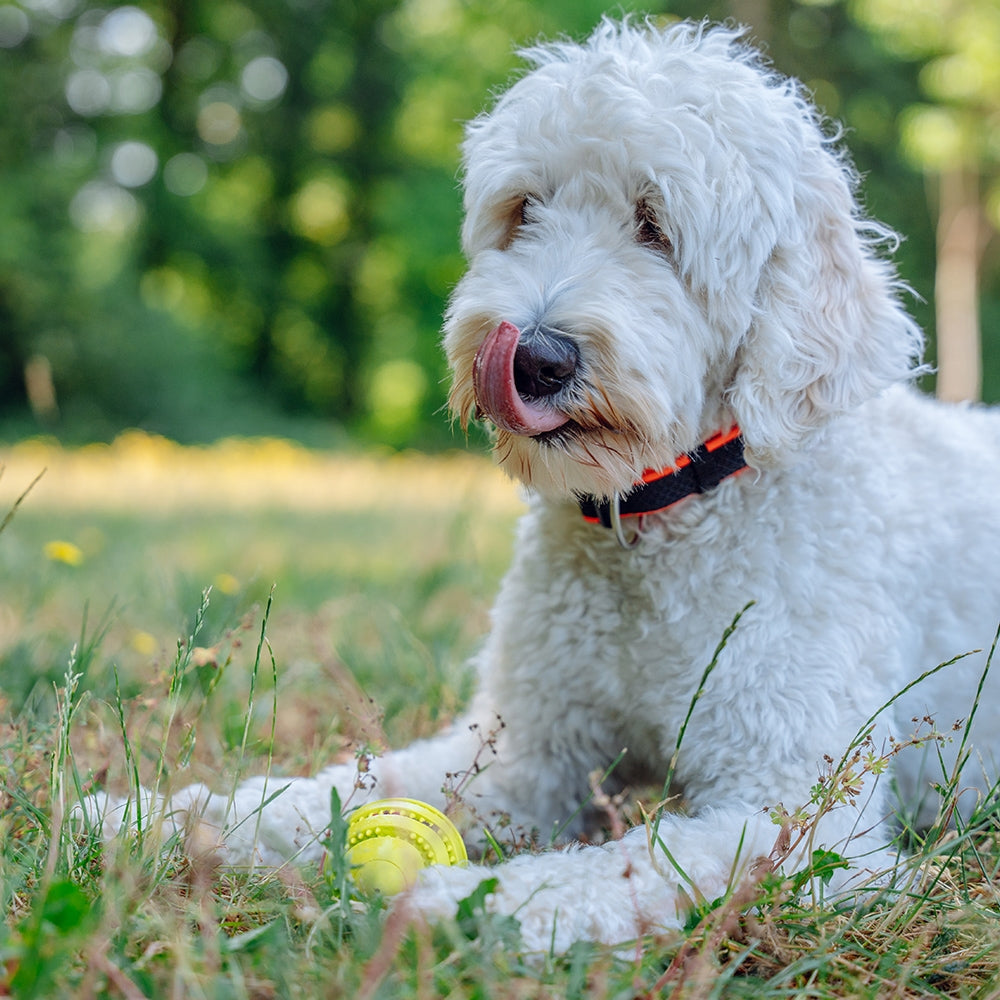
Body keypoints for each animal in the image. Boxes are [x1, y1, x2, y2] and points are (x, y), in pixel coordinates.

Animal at [88, 17, 1000, 952]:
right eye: (524, 208)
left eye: (655, 225)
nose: (533, 357)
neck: (662, 526)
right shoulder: (524, 754)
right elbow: (320, 797)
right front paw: (149, 818)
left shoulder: (801, 816)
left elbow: (612, 871)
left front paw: (456, 905)